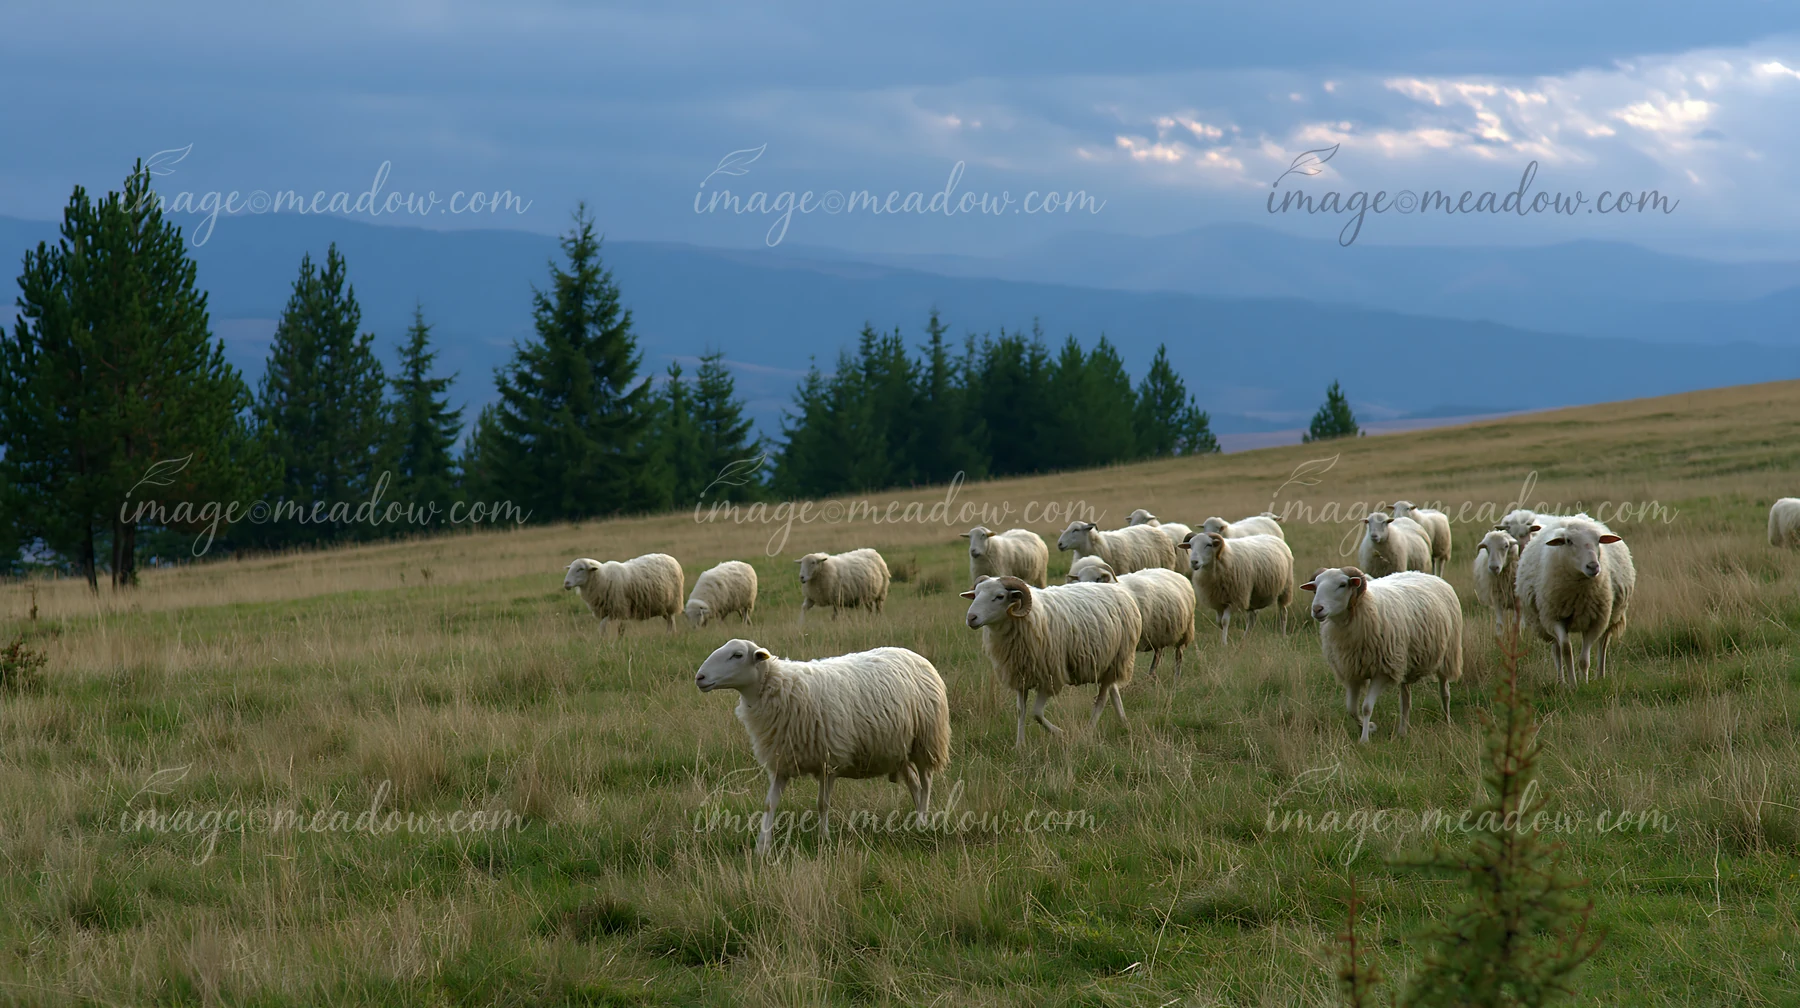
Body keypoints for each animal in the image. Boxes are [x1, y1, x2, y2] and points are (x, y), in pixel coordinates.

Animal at [694, 639, 949, 854]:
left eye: (737, 655)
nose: (700, 677)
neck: (779, 688)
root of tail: (914, 655)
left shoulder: (828, 761)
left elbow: (822, 804)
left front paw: (823, 839)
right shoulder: (781, 762)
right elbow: (769, 804)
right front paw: (762, 847)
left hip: (926, 741)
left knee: (926, 782)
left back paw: (922, 822)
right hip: (898, 749)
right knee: (914, 783)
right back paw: (914, 819)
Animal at [961, 575, 1143, 745]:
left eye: (999, 596)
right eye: (976, 593)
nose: (971, 618)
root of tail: (1118, 589)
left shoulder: (1050, 677)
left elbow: (1036, 713)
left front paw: (1061, 733)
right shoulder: (1020, 674)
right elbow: (1021, 710)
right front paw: (1020, 745)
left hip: (1117, 659)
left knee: (1101, 700)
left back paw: (1087, 733)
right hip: (1108, 664)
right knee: (1114, 691)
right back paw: (1125, 724)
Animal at [1065, 559, 1197, 677]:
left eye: (1097, 579)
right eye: (1079, 579)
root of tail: (1176, 574)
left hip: (1185, 630)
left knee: (1178, 655)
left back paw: (1176, 679)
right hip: (1159, 633)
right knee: (1158, 653)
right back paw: (1151, 676)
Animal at [1301, 567, 1463, 743]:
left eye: (1342, 584)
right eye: (1316, 586)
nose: (1317, 609)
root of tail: (1425, 574)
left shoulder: (1382, 672)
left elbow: (1366, 707)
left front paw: (1364, 739)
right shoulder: (1352, 673)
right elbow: (1351, 709)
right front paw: (1370, 727)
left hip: (1447, 655)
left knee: (1444, 692)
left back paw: (1447, 721)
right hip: (1404, 661)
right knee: (1405, 700)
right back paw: (1402, 731)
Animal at [1516, 517, 1635, 685]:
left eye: (1598, 540)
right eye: (1568, 541)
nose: (1593, 566)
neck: (1579, 595)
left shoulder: (1595, 621)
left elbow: (1584, 660)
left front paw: (1584, 683)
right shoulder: (1554, 618)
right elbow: (1566, 649)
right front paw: (1572, 684)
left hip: (1611, 615)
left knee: (1603, 643)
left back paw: (1600, 676)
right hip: (1545, 620)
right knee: (1556, 648)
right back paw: (1561, 681)